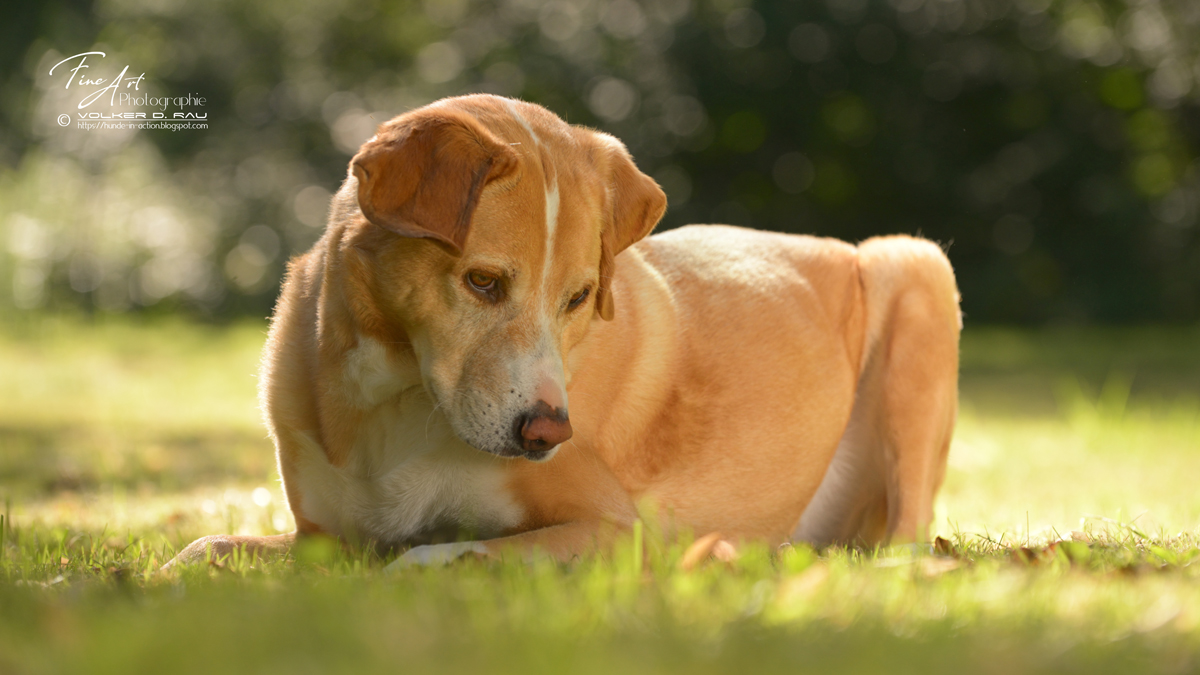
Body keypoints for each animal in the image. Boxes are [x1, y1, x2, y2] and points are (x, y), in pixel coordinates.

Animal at [169, 93, 960, 566]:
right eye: (482, 283)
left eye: (579, 297)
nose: (547, 432)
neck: (391, 404)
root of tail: (826, 243)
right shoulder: (321, 537)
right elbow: (205, 545)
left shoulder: (613, 530)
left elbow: (435, 554)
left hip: (916, 266)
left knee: (908, 541)